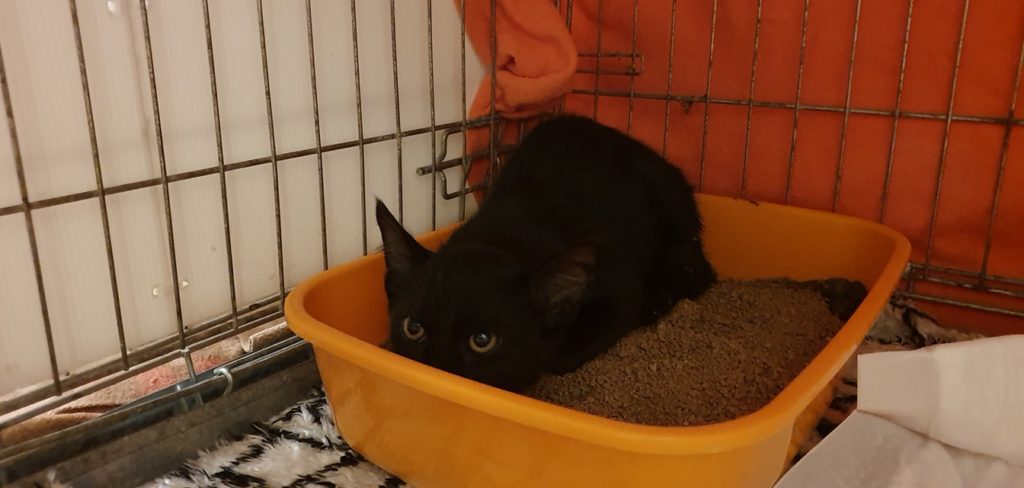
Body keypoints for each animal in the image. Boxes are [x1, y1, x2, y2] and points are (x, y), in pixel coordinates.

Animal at [375, 115, 715, 392]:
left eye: (482, 341)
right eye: (412, 328)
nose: (435, 371)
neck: (501, 240)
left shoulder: (621, 291)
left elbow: (559, 355)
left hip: (672, 210)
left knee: (697, 273)